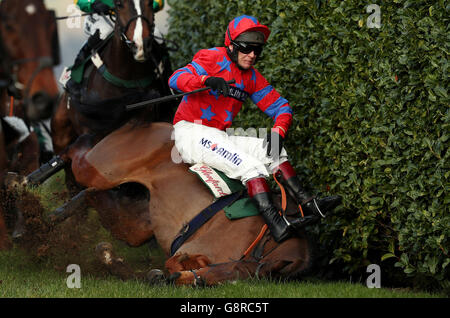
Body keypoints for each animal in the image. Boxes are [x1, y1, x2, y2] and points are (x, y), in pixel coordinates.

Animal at [52, 121, 312, 286]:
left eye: (237, 281)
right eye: (230, 272)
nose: (188, 280)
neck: (263, 240)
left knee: (95, 195)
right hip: (101, 169)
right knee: (78, 153)